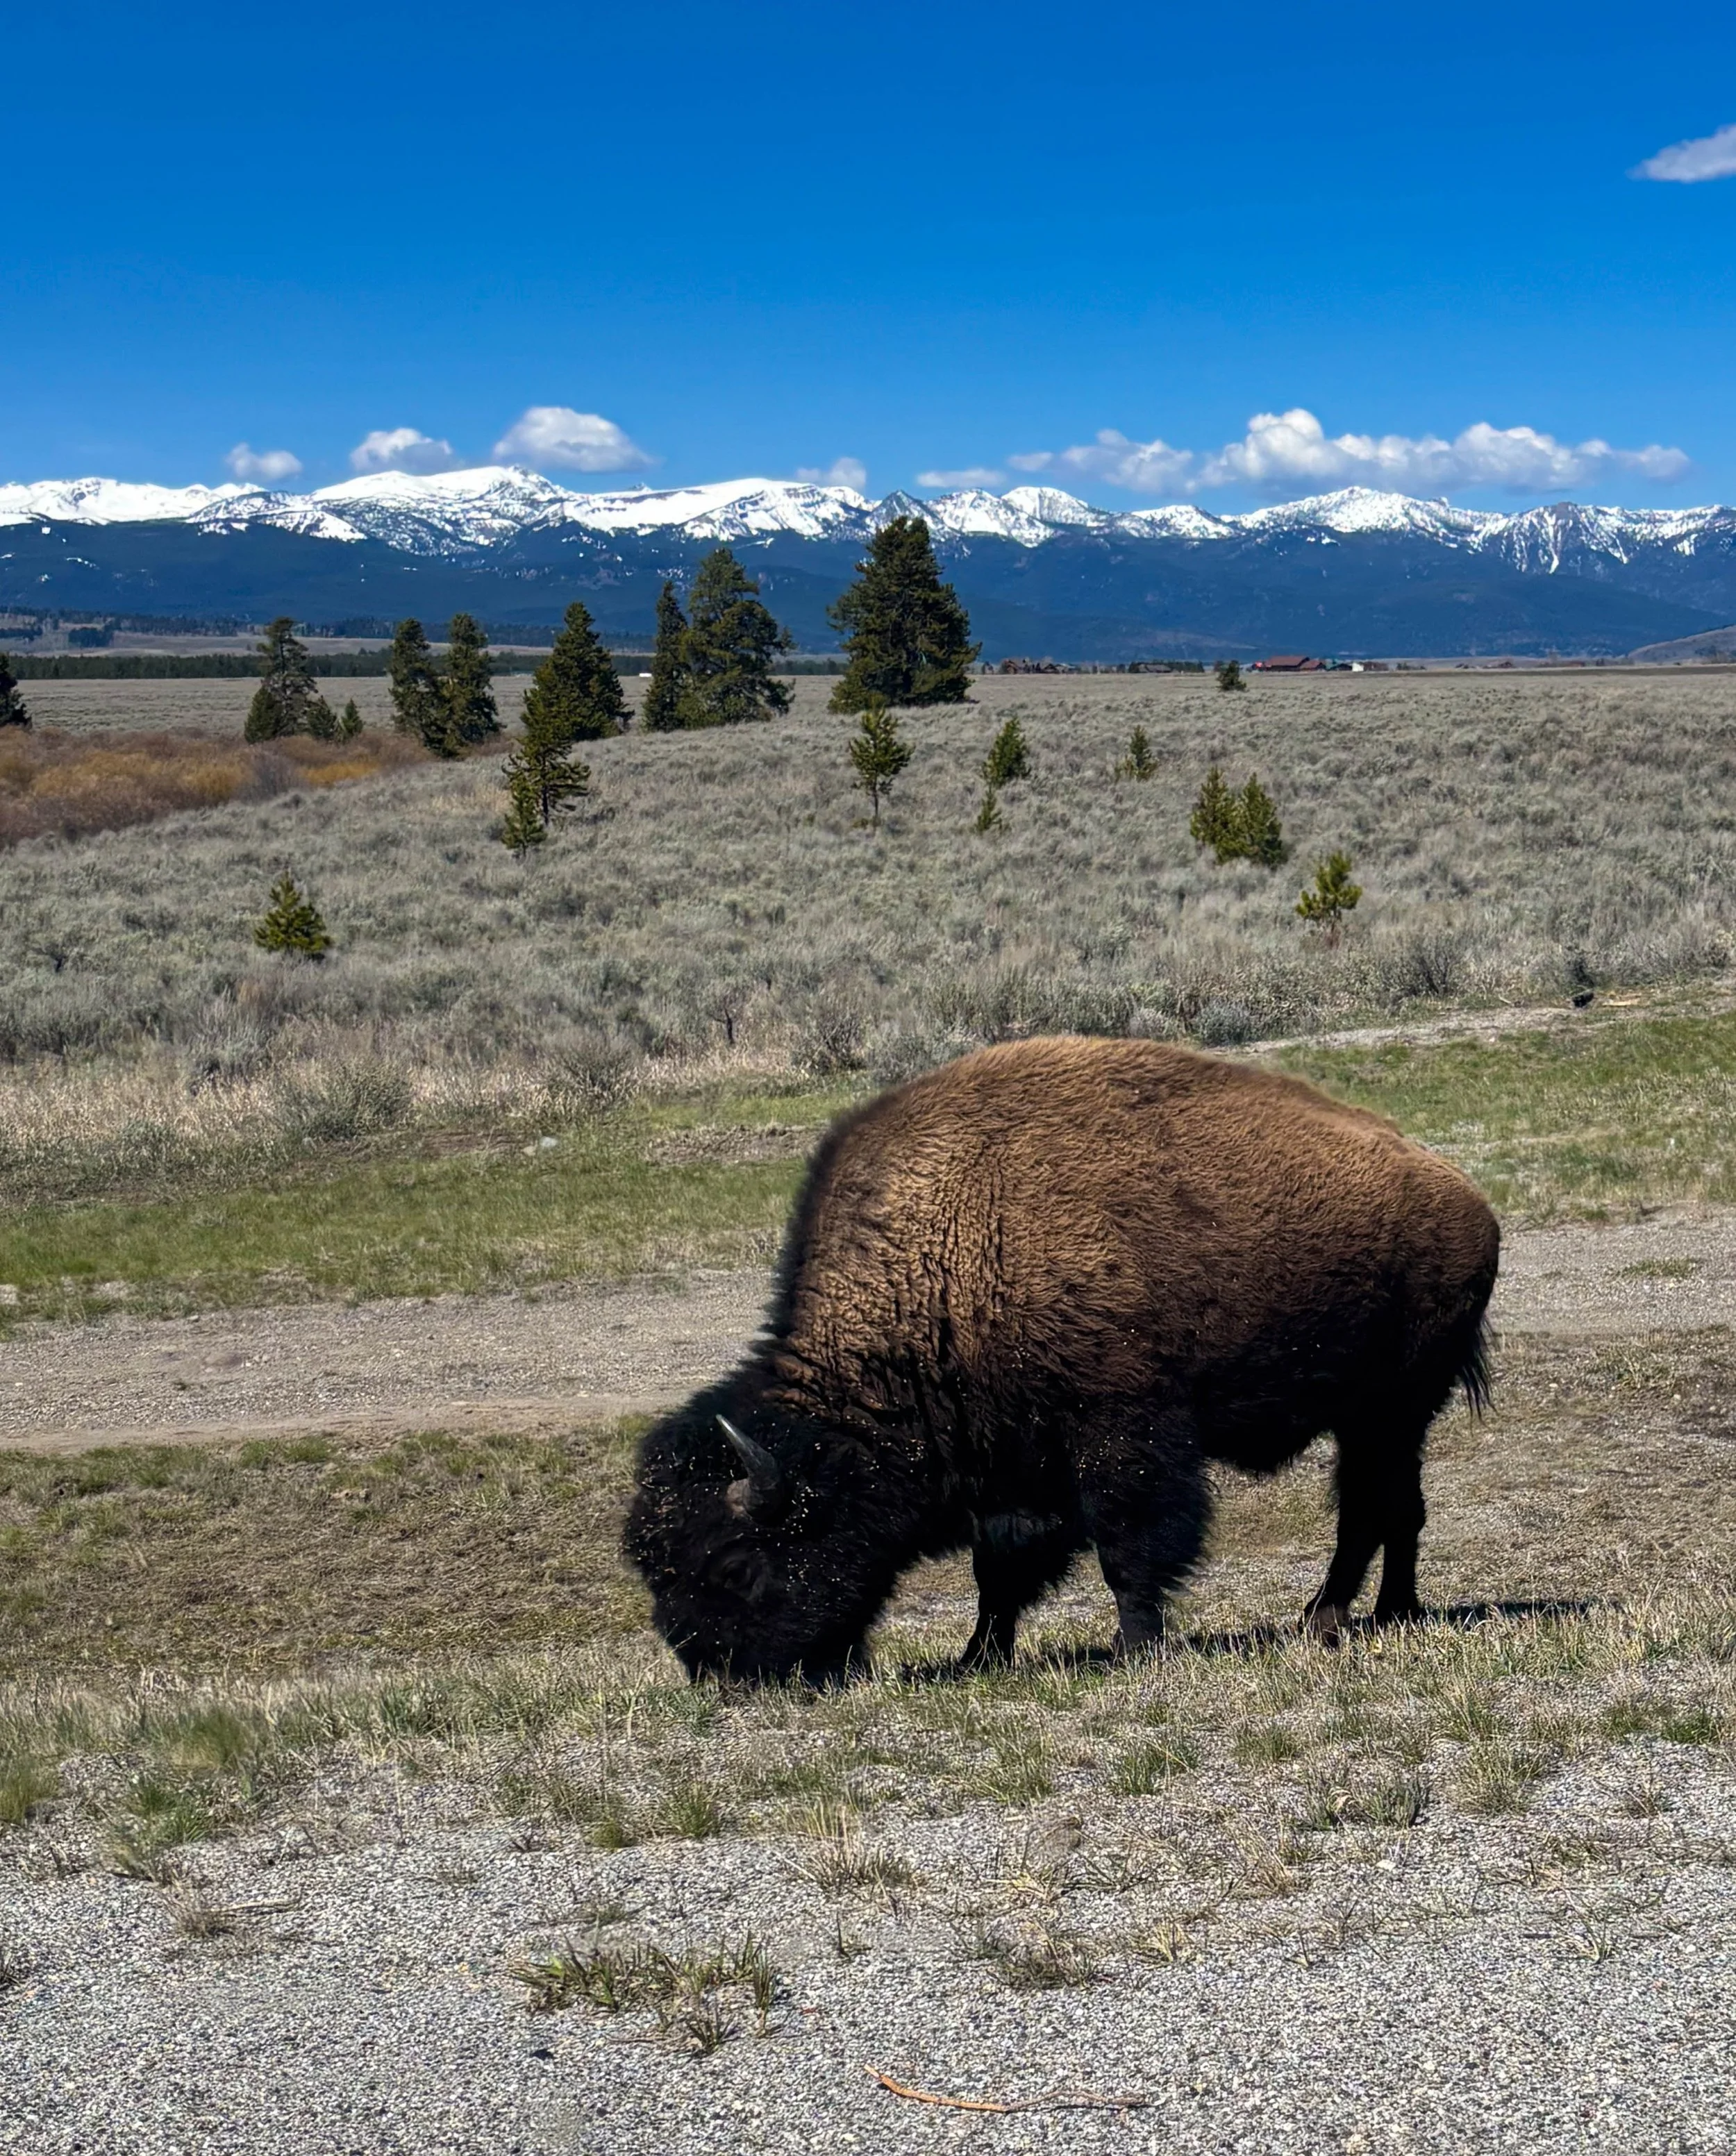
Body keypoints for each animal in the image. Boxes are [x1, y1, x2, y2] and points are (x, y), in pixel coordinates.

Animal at [625, 1036, 1498, 1682]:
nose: (718, 1676)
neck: (947, 1254)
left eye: (735, 1567)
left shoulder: (1120, 1436)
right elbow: (1000, 1572)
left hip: (1388, 1408)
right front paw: (979, 1658)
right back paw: (1379, 1615)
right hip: (1380, 1415)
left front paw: (1135, 1649)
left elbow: (1126, 1546)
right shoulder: (1012, 1467)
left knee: (1372, 1509)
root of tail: (1469, 1201)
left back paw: (1338, 1620)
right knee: (1395, 1507)